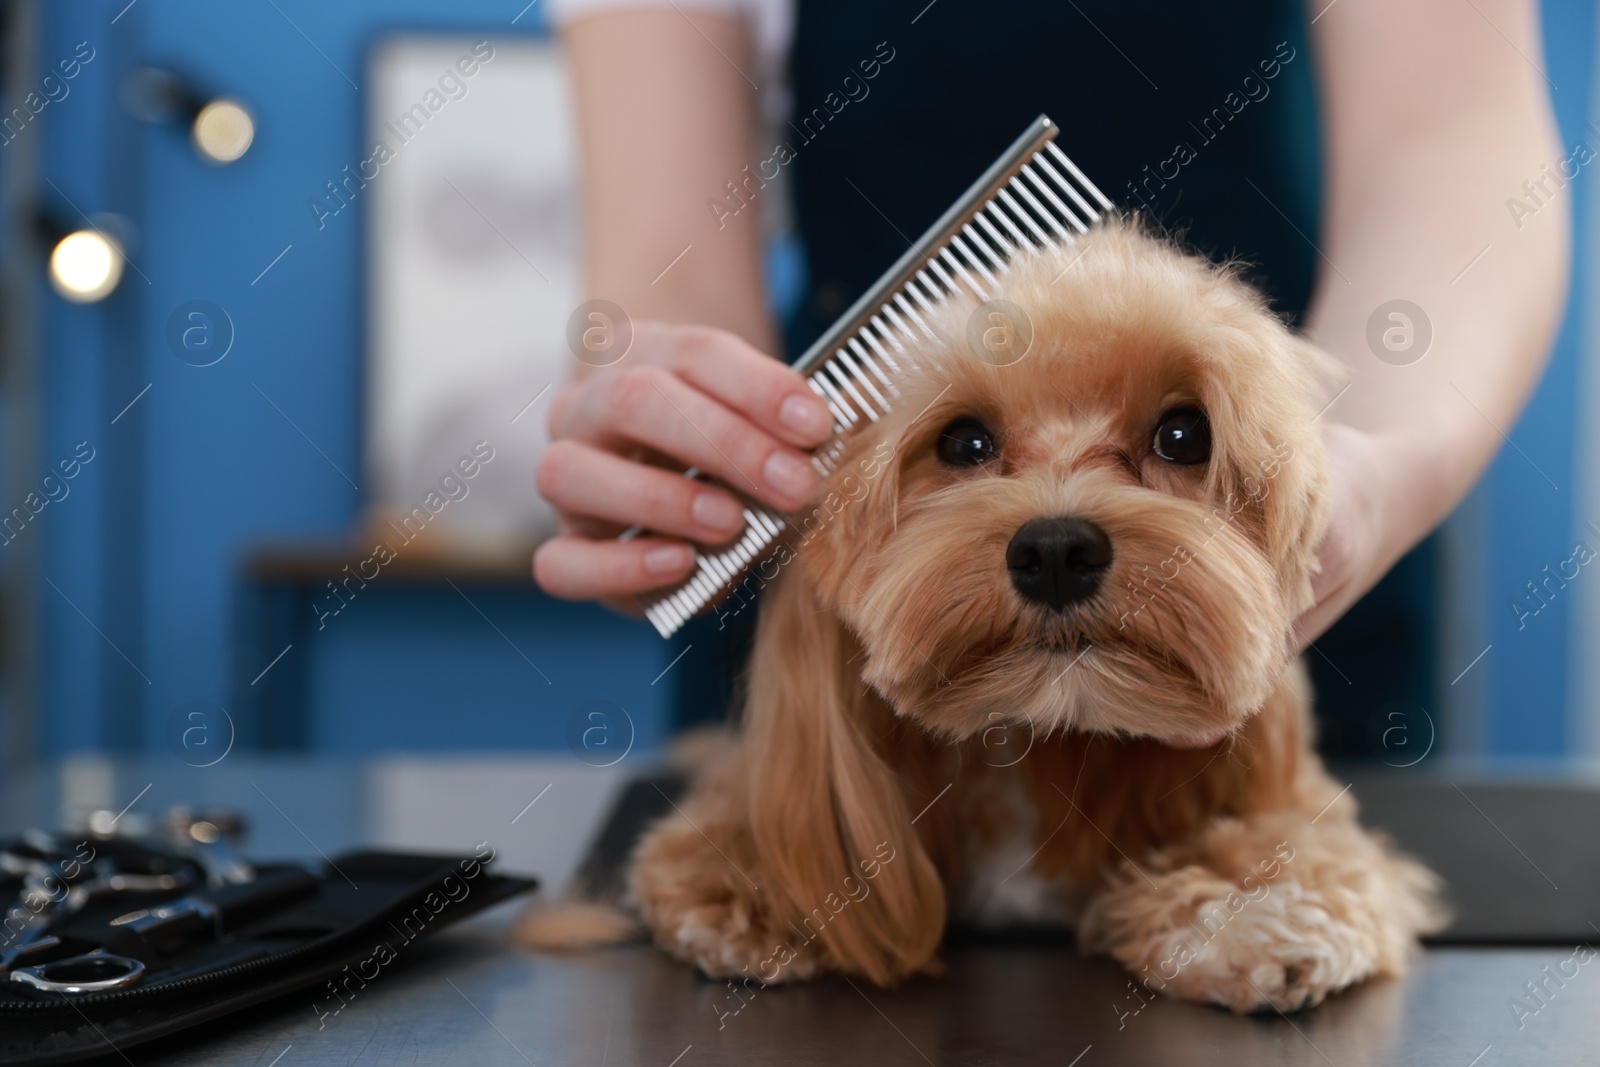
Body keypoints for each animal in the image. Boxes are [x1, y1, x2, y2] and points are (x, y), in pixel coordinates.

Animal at [556, 220, 1446, 1017]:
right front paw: (759, 897)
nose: (1056, 550)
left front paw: (1252, 911)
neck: (1032, 739)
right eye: (965, 442)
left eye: (1184, 433)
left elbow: (1295, 853)